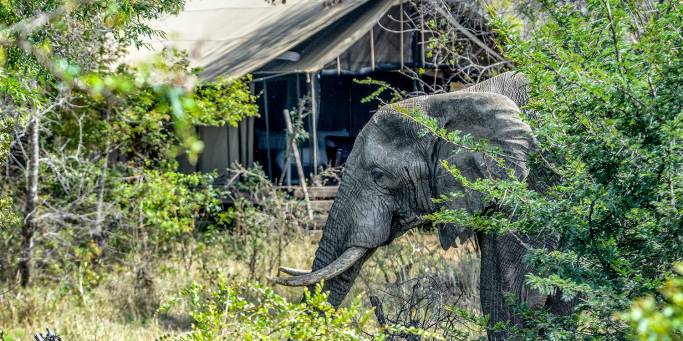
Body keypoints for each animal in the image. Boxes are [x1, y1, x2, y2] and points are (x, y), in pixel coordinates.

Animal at [272, 71, 568, 338]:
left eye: (378, 175)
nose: (278, 273)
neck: (450, 100)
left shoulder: (532, 186)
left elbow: (517, 293)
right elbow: (496, 290)